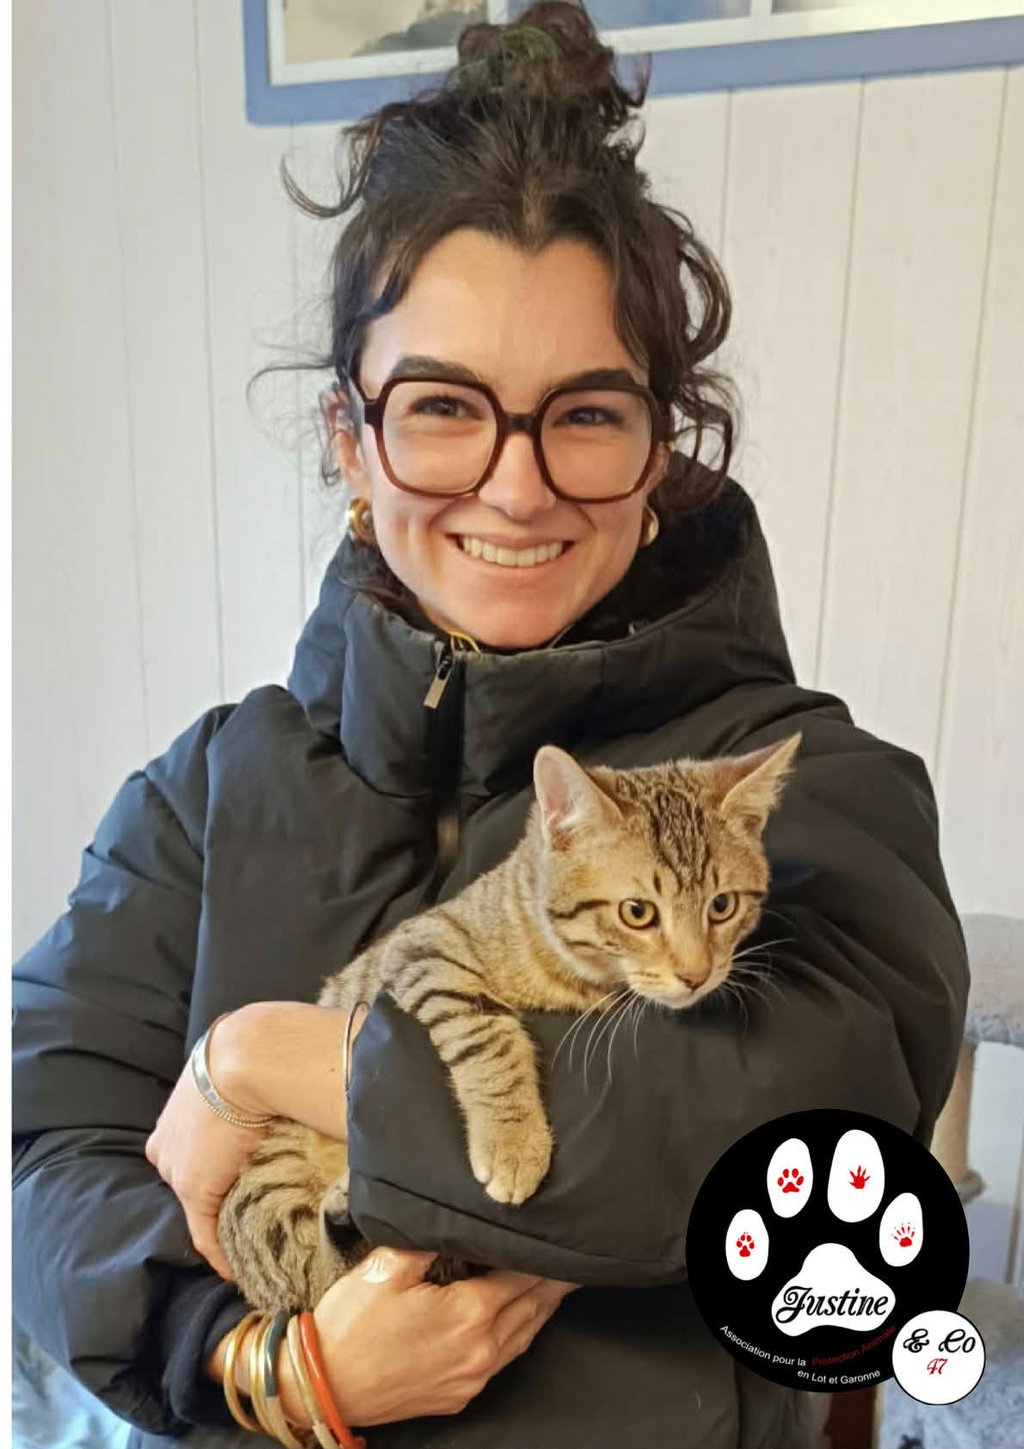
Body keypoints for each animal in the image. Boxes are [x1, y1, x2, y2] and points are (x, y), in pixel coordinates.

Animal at [218, 732, 802, 1311]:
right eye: (638, 912)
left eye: (722, 906)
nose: (696, 976)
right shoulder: (423, 950)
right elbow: (487, 1034)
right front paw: (513, 1142)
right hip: (267, 1186)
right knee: (309, 1281)